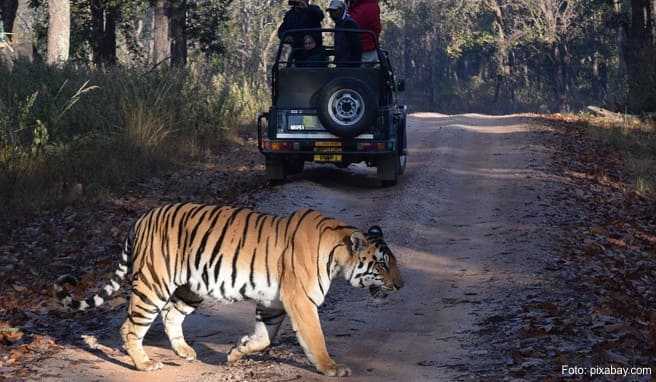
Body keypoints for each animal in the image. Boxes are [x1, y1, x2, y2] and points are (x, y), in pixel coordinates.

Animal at [55, 203, 404, 376]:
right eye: (383, 264)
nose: (401, 285)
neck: (338, 254)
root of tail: (140, 218)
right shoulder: (301, 301)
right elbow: (315, 337)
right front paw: (331, 368)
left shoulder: (273, 302)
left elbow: (264, 338)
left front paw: (237, 352)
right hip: (153, 284)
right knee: (130, 326)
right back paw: (144, 363)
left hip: (190, 288)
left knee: (170, 315)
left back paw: (184, 351)